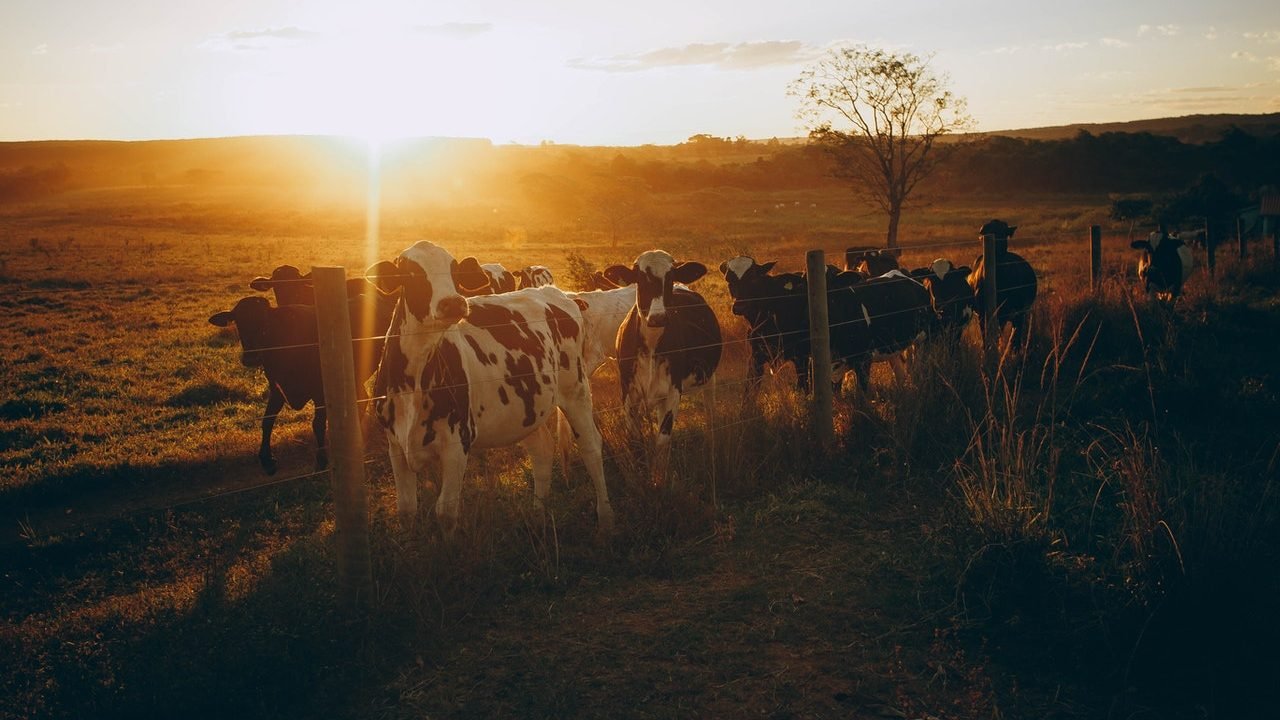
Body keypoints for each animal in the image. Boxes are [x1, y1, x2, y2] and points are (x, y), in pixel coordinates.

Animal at [366, 240, 614, 527]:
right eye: (411, 272)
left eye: (455, 271)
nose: (453, 303)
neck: (414, 381)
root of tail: (556, 293)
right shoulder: (396, 445)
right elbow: (406, 509)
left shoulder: (457, 442)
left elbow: (445, 512)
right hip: (526, 408)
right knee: (542, 449)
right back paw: (538, 514)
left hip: (576, 390)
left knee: (591, 446)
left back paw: (605, 519)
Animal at [599, 249, 721, 479]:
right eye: (639, 278)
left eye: (670, 277)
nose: (658, 317)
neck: (651, 346)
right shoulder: (628, 393)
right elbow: (636, 442)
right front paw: (643, 477)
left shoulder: (674, 390)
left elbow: (663, 440)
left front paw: (659, 479)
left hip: (709, 378)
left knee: (710, 414)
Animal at [967, 217, 1039, 345]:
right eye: (988, 231)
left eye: (1004, 233)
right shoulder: (983, 314)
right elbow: (986, 337)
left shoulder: (1010, 312)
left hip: (1019, 313)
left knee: (1015, 336)